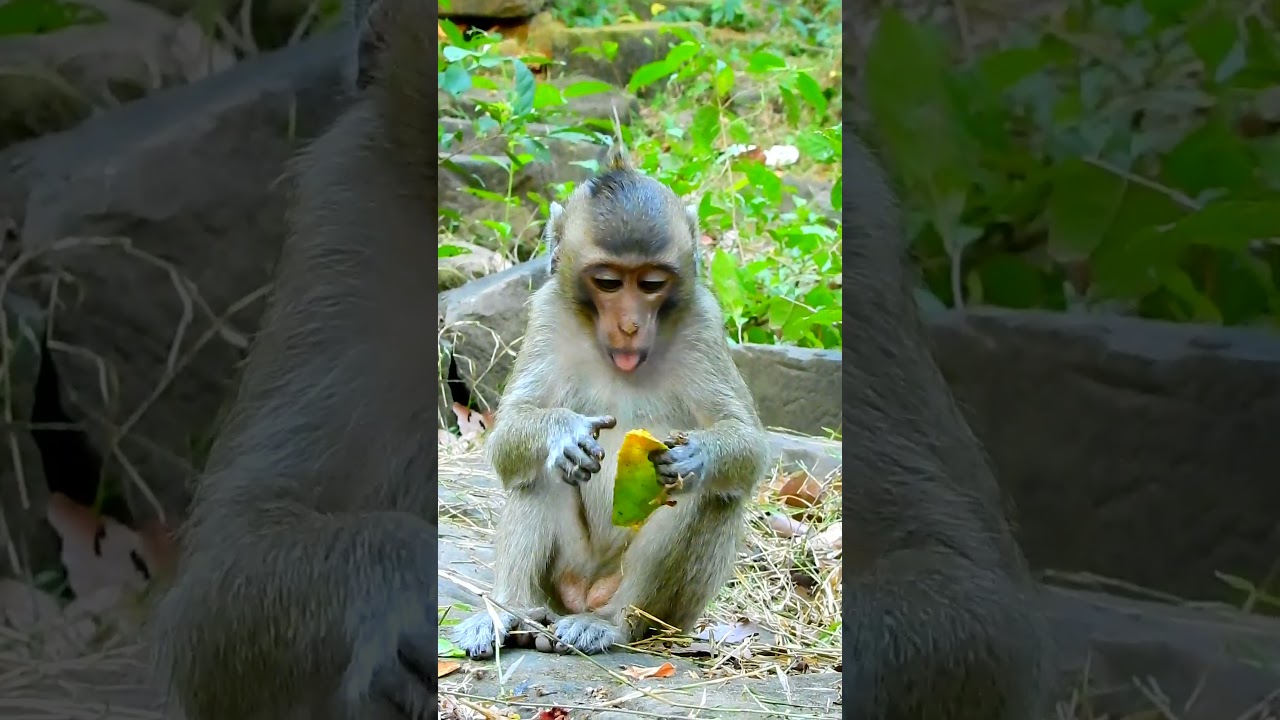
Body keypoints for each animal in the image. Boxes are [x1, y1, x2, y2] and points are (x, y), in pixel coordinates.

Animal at [449, 140, 772, 659]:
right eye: (608, 282)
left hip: (664, 614)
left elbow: (748, 444)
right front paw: (562, 433)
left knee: (706, 497)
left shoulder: (703, 320)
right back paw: (510, 615)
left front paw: (697, 455)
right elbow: (509, 436)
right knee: (538, 473)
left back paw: (612, 623)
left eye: (652, 283)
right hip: (563, 579)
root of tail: (583, 593)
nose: (630, 325)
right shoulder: (547, 314)